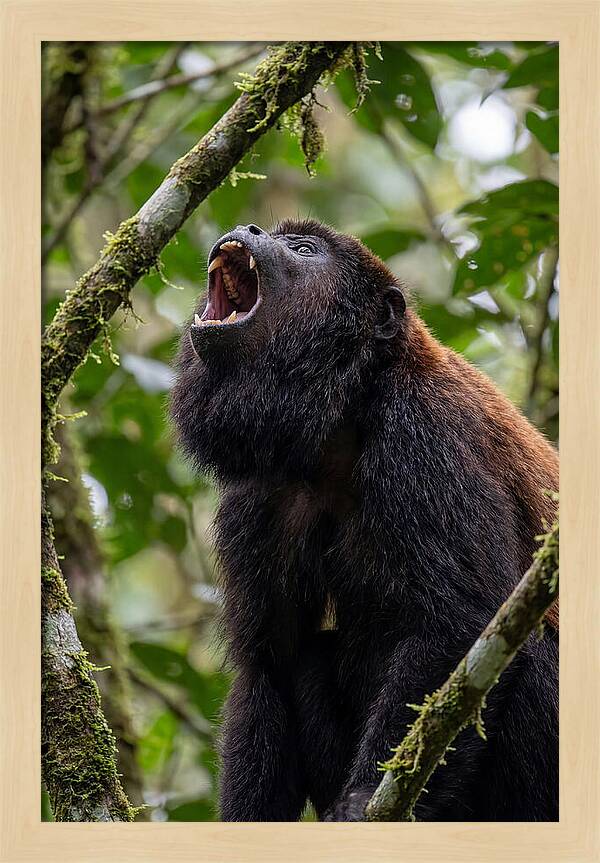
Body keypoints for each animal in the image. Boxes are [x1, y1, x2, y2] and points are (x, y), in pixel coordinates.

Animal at [170, 220, 558, 822]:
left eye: (304, 250)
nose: (249, 227)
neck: (344, 417)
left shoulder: (423, 433)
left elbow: (461, 622)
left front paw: (357, 802)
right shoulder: (258, 493)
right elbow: (269, 664)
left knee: (534, 650)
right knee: (307, 657)